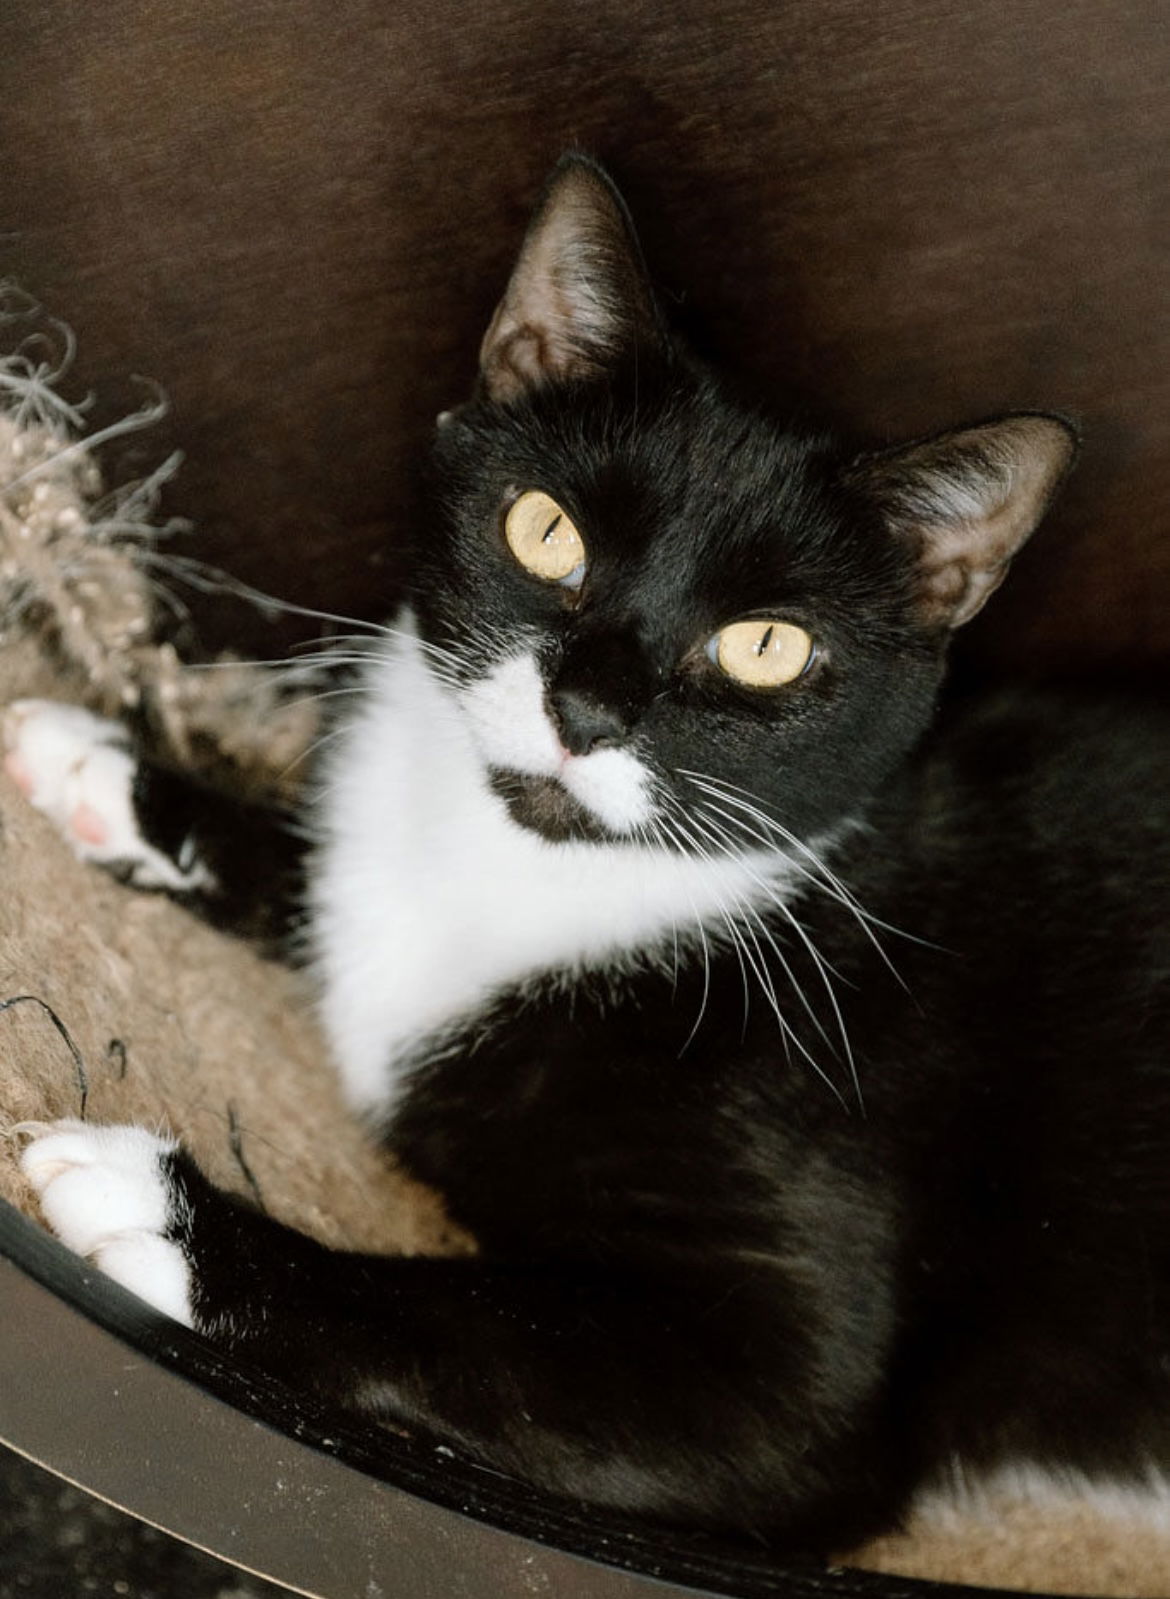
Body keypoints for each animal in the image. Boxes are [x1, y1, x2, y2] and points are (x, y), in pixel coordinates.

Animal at [9, 155, 1170, 1554]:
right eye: (546, 530)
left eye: (768, 646)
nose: (590, 707)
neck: (532, 873)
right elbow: (329, 870)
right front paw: (112, 774)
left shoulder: (787, 1366)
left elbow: (477, 1318)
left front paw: (161, 1209)